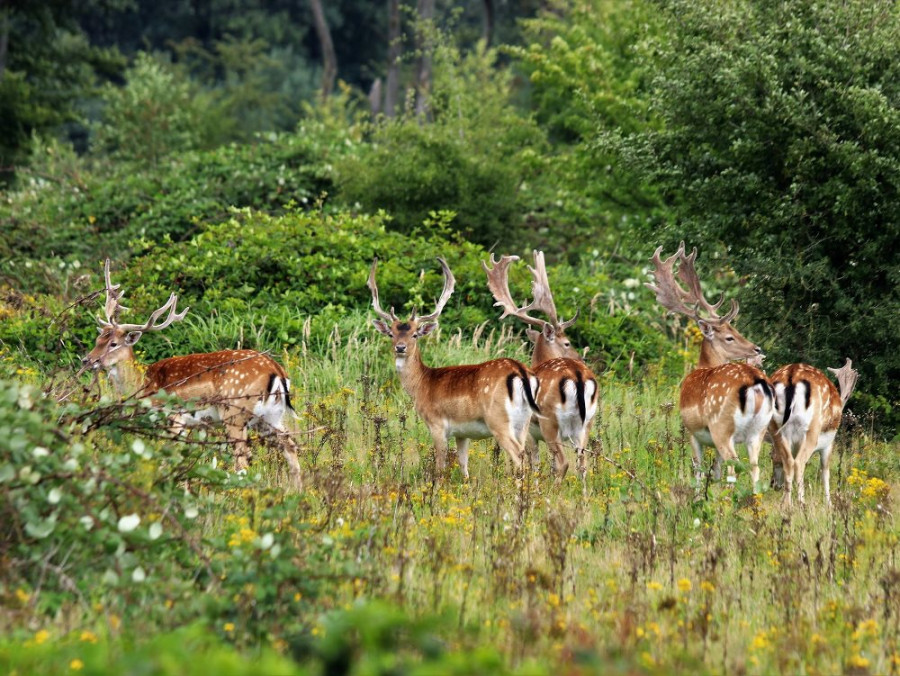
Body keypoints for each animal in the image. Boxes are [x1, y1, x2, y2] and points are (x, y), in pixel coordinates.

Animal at [80, 262, 302, 488]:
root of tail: (276, 371)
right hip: (271, 416)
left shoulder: (174, 417)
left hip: (234, 411)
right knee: (290, 445)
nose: (87, 360)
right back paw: (296, 491)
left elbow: (169, 459)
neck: (144, 384)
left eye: (113, 344)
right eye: (98, 339)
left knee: (242, 459)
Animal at [368, 256, 536, 478]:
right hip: (524, 422)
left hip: (498, 419)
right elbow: (464, 466)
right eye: (391, 334)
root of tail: (521, 373)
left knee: (519, 456)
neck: (421, 385)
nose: (400, 347)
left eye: (415, 334)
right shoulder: (462, 433)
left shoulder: (437, 424)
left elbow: (440, 466)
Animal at [482, 252, 600, 480]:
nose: (581, 358)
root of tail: (578, 376)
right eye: (567, 343)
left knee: (564, 463)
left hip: (550, 421)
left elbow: (534, 465)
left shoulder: (528, 433)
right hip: (587, 423)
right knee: (582, 464)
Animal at [648, 243, 772, 492]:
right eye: (730, 336)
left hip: (721, 427)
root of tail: (755, 386)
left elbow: (698, 469)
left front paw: (698, 495)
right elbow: (714, 471)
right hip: (759, 431)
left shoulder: (692, 431)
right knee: (755, 467)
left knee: (735, 465)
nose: (756, 348)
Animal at [768, 360, 856, 508]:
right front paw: (829, 504)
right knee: (799, 462)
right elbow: (825, 472)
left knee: (790, 462)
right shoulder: (828, 444)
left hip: (776, 429)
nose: (773, 484)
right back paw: (801, 503)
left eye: (772, 458)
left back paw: (786, 505)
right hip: (812, 429)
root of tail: (791, 376)